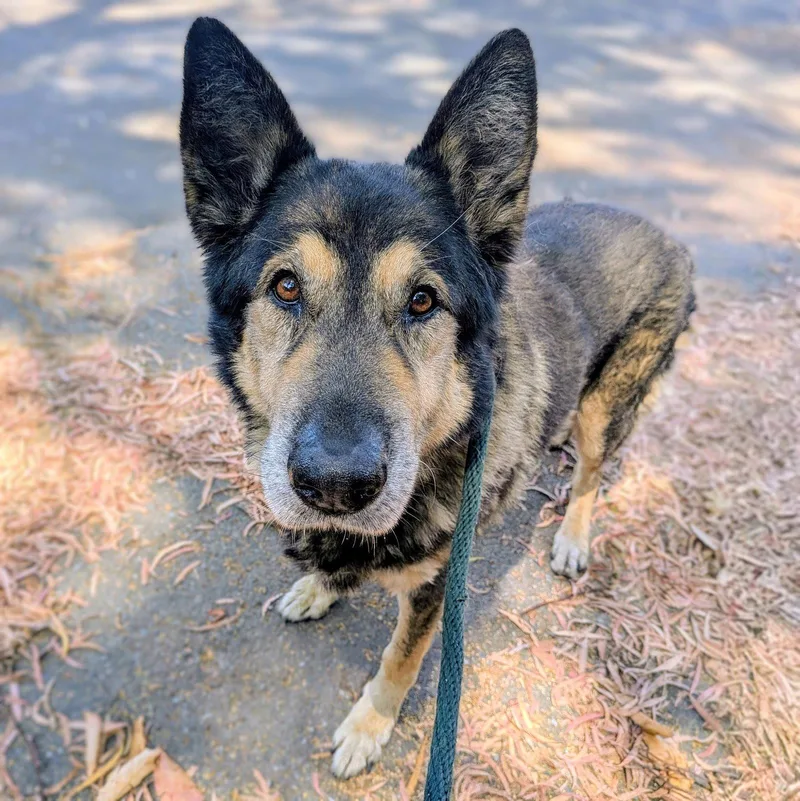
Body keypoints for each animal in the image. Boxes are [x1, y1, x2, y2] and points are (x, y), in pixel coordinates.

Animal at [179, 17, 695, 778]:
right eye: (285, 287)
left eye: (423, 300)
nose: (335, 485)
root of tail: (670, 237)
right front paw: (319, 587)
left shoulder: (436, 590)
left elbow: (398, 660)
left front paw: (369, 726)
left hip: (609, 403)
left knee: (595, 470)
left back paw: (573, 535)